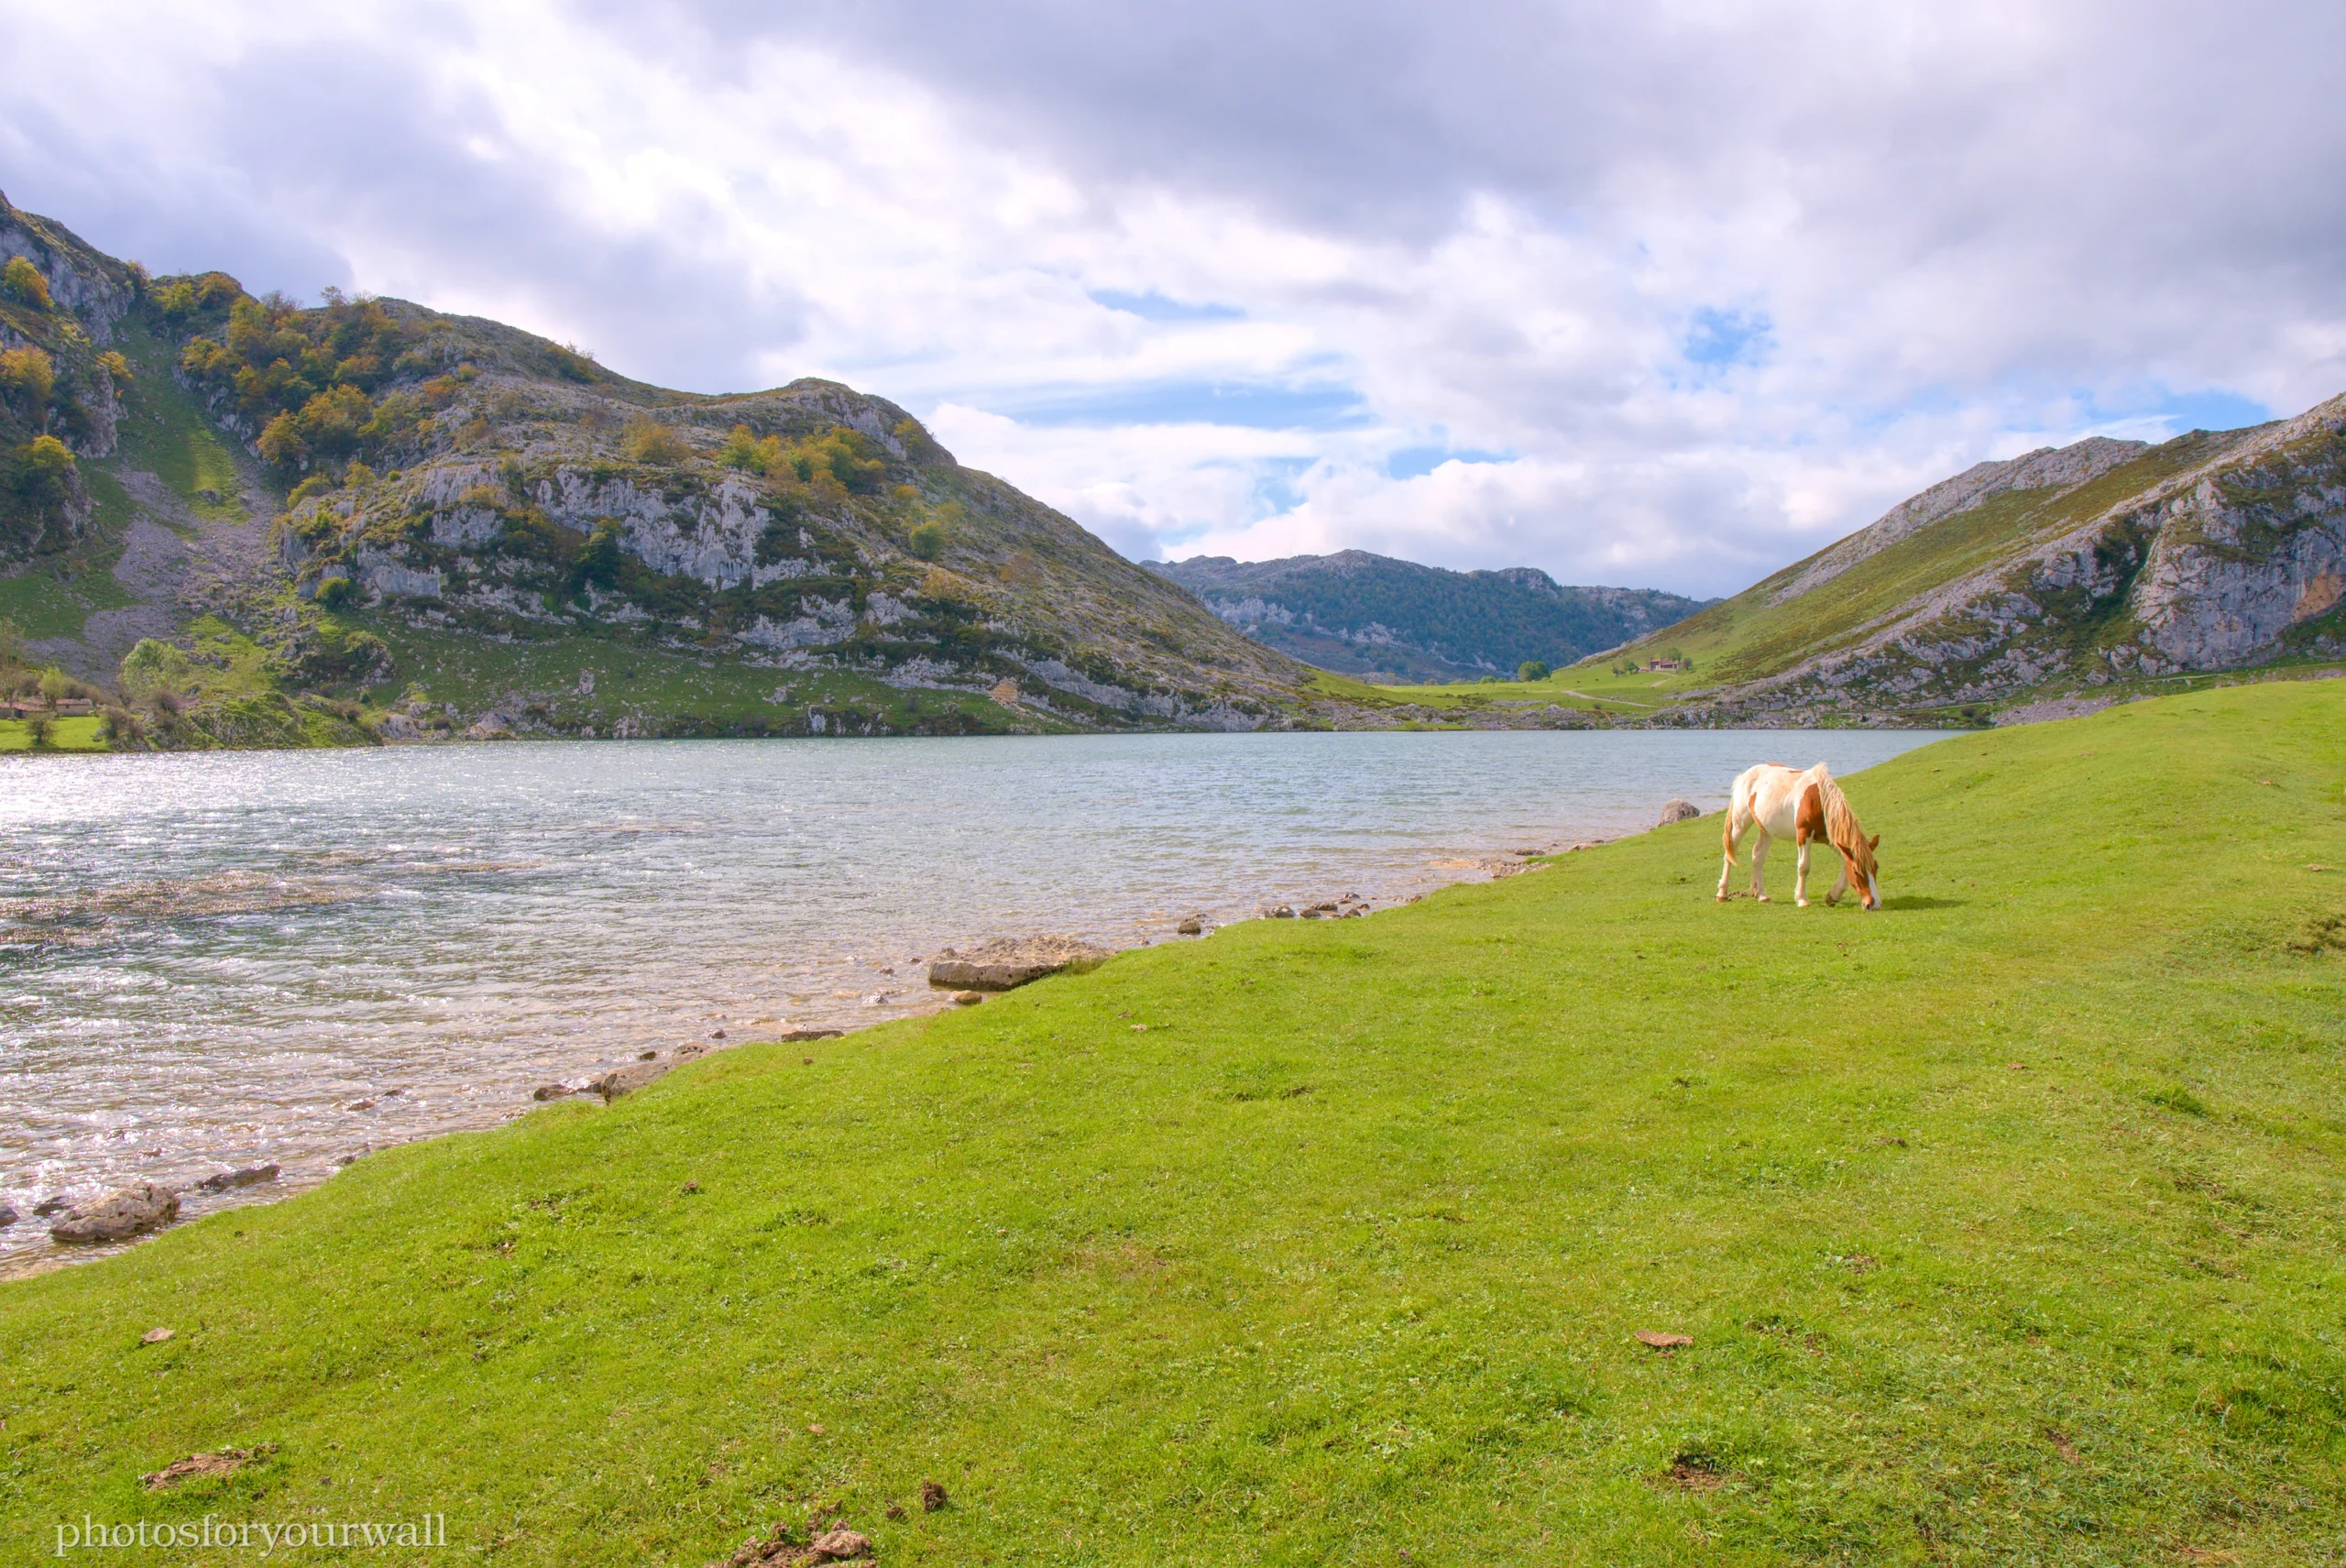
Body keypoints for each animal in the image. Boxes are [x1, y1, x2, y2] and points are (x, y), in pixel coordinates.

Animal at [1716, 762, 1882, 909]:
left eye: (1875, 868)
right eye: (1858, 872)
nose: (1874, 904)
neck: (1818, 800)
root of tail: (1743, 776)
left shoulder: (1831, 840)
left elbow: (1844, 862)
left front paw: (1833, 896)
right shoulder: (1804, 834)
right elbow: (1804, 867)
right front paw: (1802, 899)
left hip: (1766, 830)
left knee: (1758, 856)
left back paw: (1761, 895)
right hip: (1740, 824)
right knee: (1729, 855)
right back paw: (1722, 894)